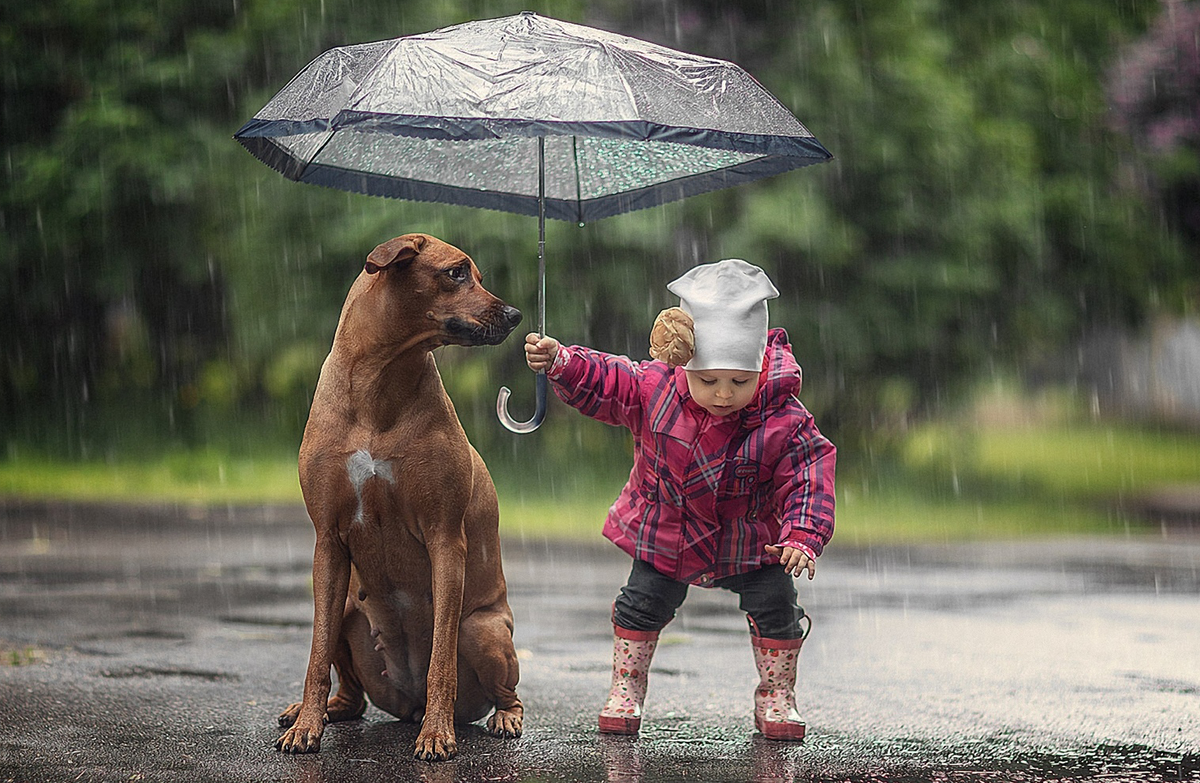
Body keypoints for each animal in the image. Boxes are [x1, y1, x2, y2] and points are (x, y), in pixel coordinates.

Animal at [278, 232, 528, 758]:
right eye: (457, 272)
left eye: (476, 274)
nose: (516, 315)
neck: (380, 383)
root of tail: (406, 704)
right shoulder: (327, 542)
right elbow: (315, 655)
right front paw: (306, 726)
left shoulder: (445, 539)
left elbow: (441, 661)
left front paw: (436, 734)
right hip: (347, 608)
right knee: (351, 696)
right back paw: (318, 711)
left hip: (482, 629)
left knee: (504, 690)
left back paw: (499, 718)